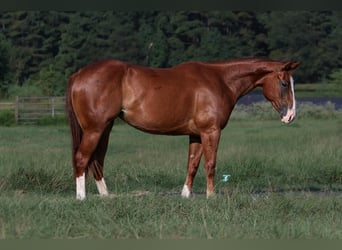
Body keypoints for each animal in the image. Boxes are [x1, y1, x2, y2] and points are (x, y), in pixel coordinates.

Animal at [65, 57, 300, 200]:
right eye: (284, 84)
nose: (290, 116)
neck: (220, 81)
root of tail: (78, 75)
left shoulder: (195, 134)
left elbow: (192, 165)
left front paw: (186, 195)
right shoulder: (211, 131)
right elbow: (210, 164)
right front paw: (211, 196)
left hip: (105, 128)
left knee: (96, 161)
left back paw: (105, 196)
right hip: (95, 129)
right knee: (82, 159)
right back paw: (81, 198)